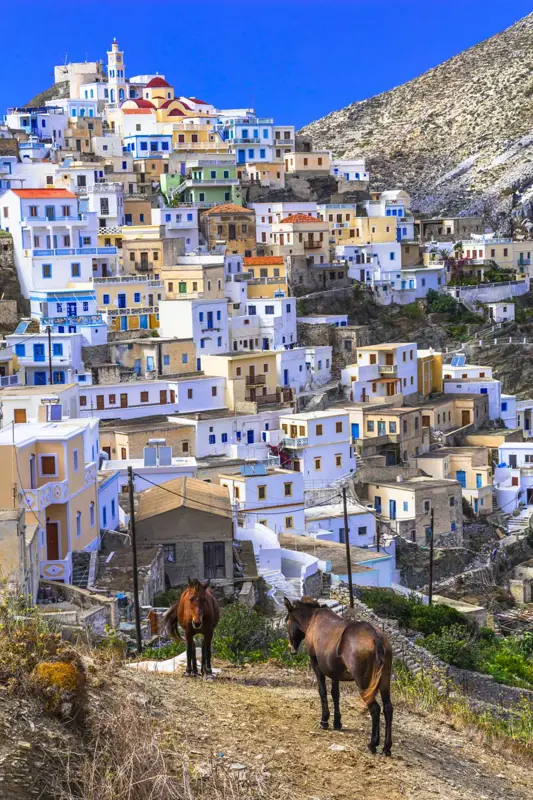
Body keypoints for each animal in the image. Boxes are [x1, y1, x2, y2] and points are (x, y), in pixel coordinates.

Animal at [284, 592, 392, 756]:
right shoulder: (334, 671)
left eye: (287, 621)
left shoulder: (316, 664)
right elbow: (336, 694)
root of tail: (376, 638)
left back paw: (372, 744)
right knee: (388, 708)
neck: (312, 619)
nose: (292, 649)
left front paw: (324, 721)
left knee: (375, 708)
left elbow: (322, 691)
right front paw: (337, 722)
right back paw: (387, 747)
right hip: (385, 680)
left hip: (364, 682)